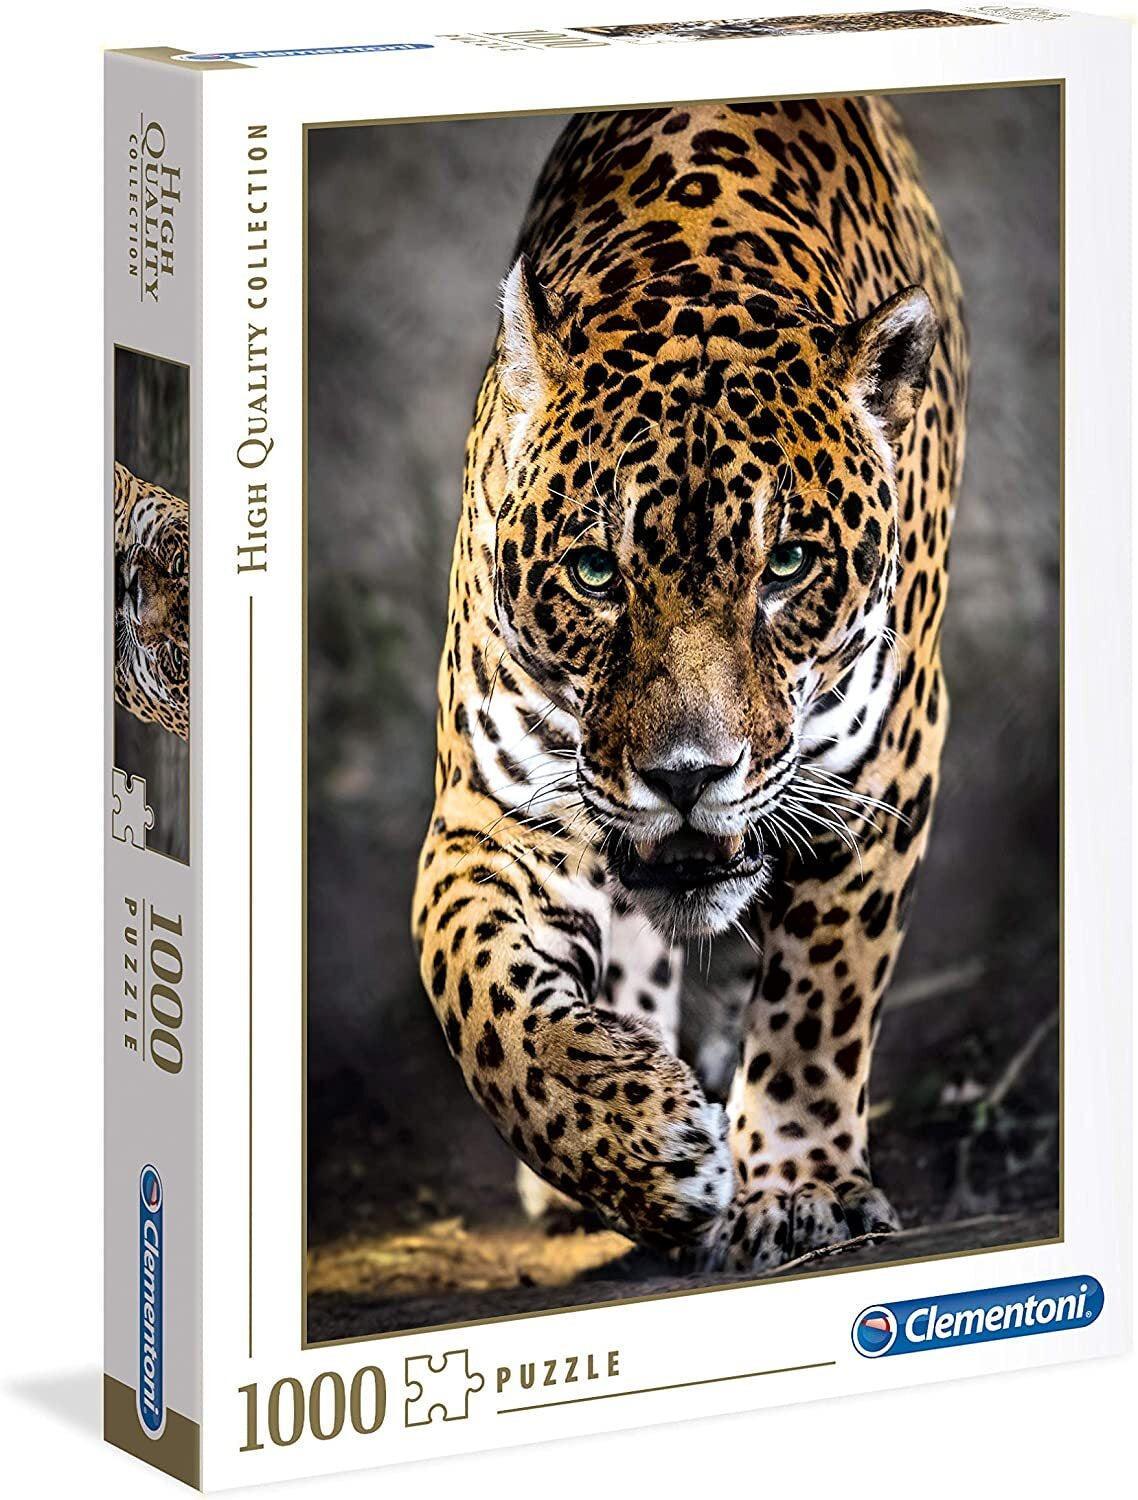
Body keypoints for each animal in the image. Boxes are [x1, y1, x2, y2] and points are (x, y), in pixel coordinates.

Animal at [413, 96, 966, 1270]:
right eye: (594, 573)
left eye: (788, 566)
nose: (685, 777)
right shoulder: (494, 812)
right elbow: (476, 993)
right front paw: (639, 1146)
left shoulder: (882, 773)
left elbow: (819, 998)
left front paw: (796, 1187)